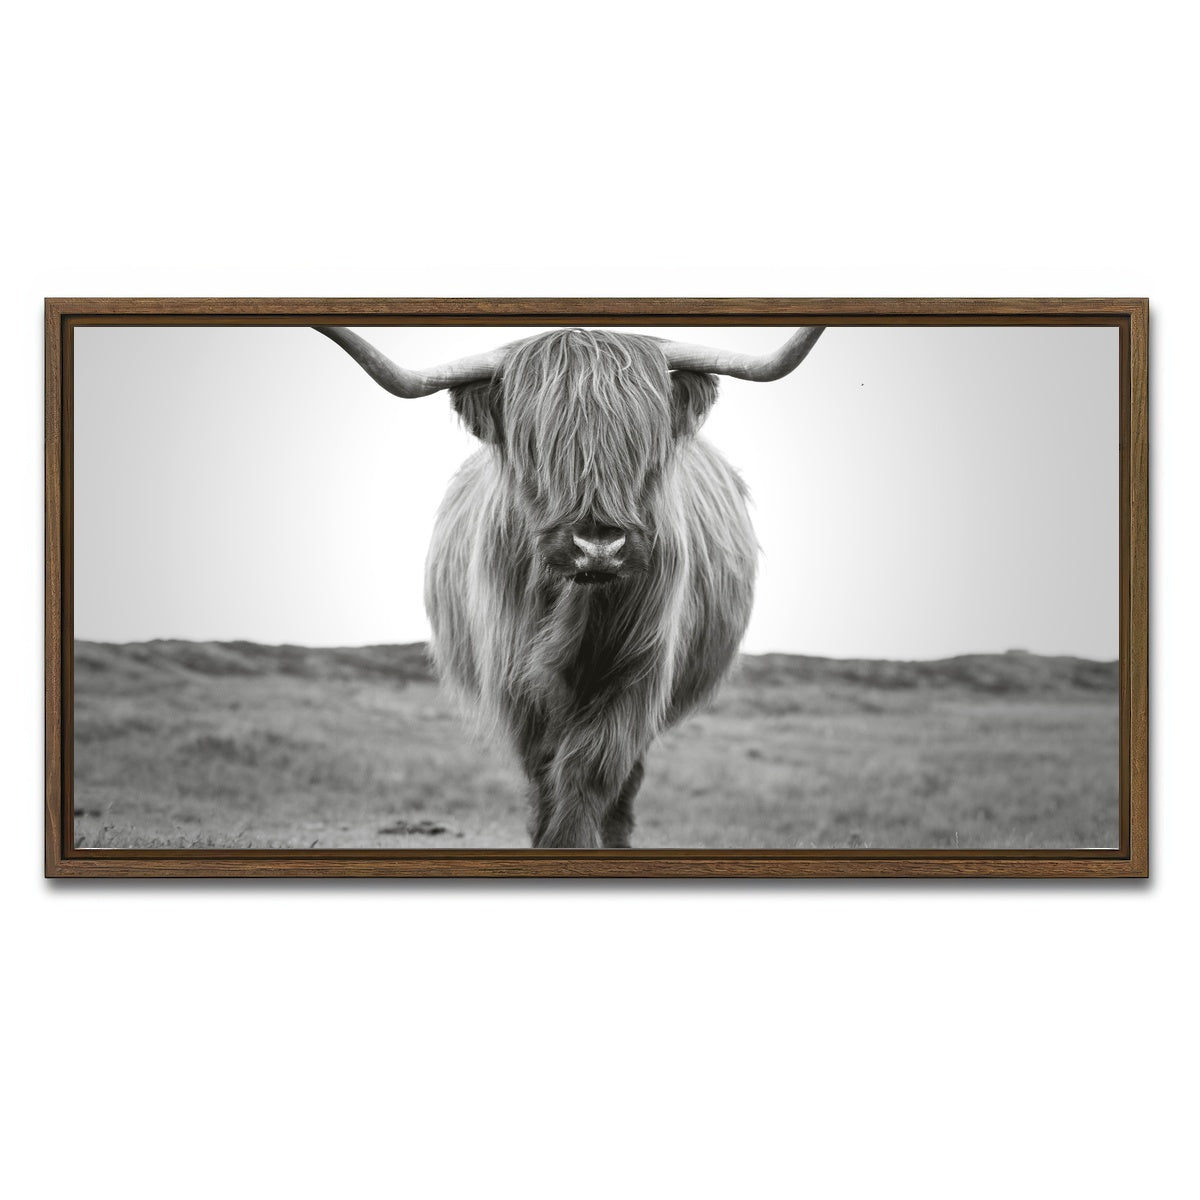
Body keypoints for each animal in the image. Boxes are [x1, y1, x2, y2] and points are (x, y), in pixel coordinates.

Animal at [315, 323, 824, 848]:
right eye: (535, 444)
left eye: (644, 442)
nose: (598, 546)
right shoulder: (515, 677)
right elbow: (543, 768)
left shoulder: (637, 674)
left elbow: (591, 768)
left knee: (627, 778)